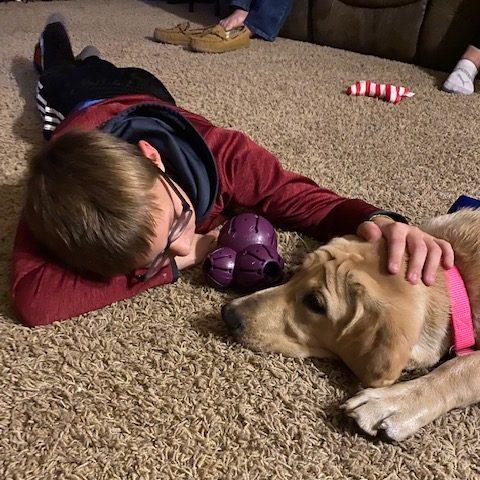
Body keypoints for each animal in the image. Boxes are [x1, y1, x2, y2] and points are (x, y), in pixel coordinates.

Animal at [223, 208, 480, 440]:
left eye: (315, 303)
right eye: (297, 273)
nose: (228, 314)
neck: (461, 284)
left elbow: (459, 367)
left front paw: (390, 403)